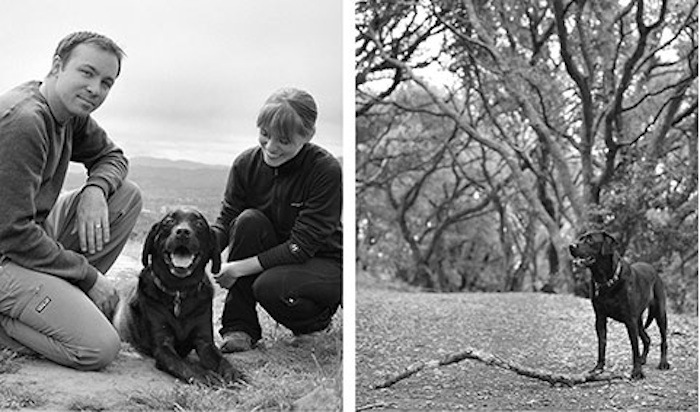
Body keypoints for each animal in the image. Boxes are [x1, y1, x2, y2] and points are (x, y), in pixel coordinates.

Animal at [568, 230, 672, 378]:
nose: (571, 246)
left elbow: (634, 347)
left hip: (660, 314)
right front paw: (598, 368)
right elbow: (602, 344)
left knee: (663, 340)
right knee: (647, 339)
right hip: (638, 321)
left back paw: (663, 363)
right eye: (581, 238)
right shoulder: (600, 318)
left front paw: (637, 372)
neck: (606, 281)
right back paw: (643, 359)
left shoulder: (630, 321)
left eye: (590, 240)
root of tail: (653, 269)